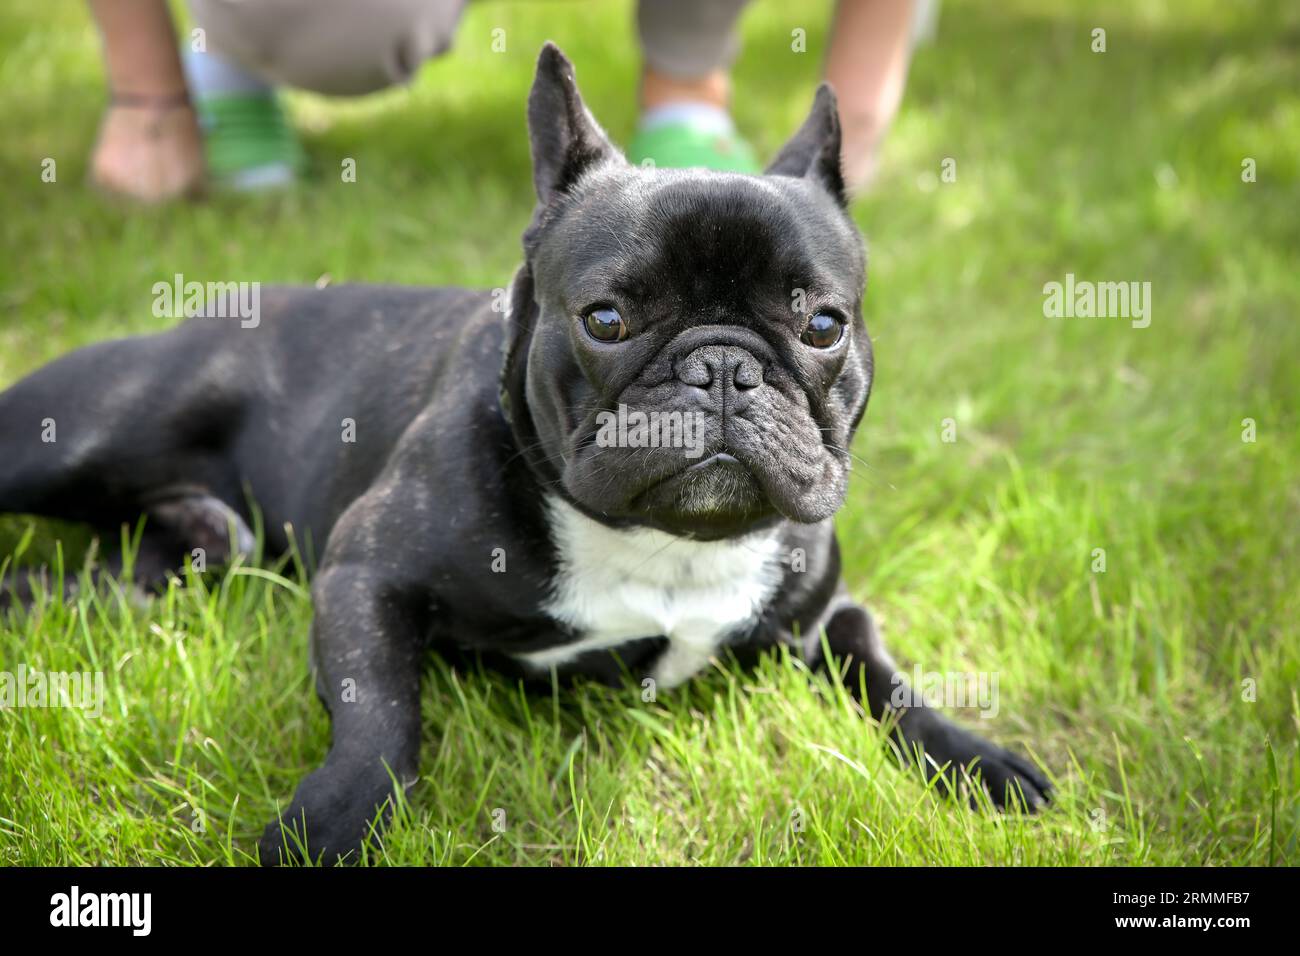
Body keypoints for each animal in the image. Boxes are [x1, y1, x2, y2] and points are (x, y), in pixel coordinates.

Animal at [0, 46, 1050, 868]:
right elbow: (381, 716)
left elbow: (886, 671)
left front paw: (978, 759)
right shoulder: (365, 572)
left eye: (823, 324)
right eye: (607, 318)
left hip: (195, 555)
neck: (672, 546)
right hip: (85, 434)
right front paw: (333, 820)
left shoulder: (826, 609)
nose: (722, 368)